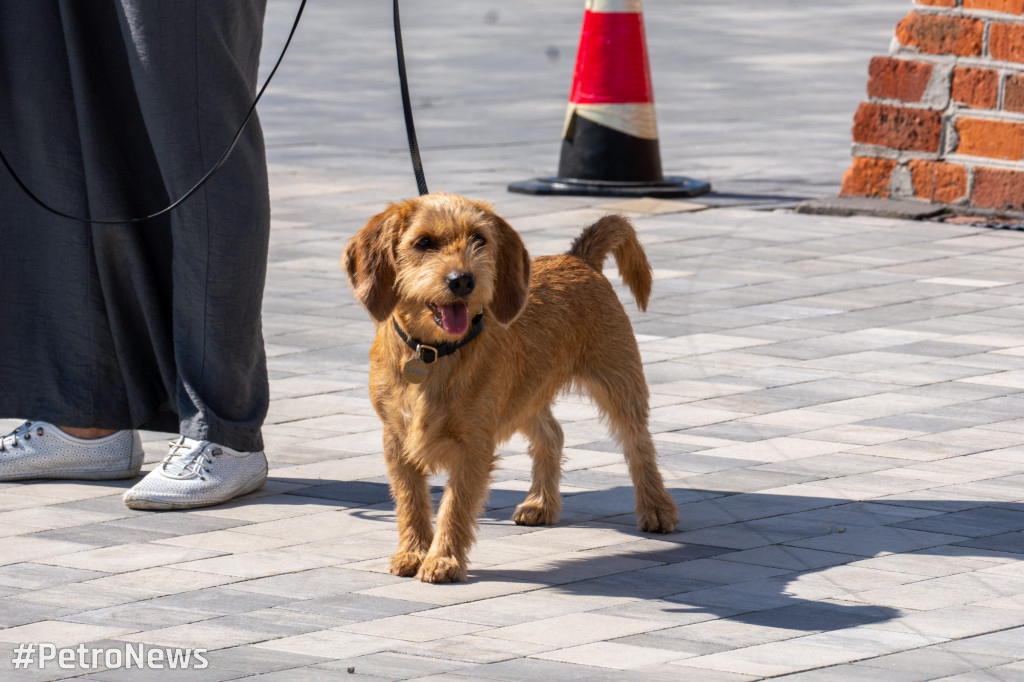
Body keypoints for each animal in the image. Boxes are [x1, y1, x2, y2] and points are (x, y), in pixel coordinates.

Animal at [344, 191, 679, 577]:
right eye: (423, 242)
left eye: (479, 239)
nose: (462, 280)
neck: (433, 352)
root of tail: (578, 257)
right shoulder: (396, 439)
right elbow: (410, 500)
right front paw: (412, 552)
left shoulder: (474, 443)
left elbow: (455, 504)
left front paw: (444, 559)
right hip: (524, 396)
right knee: (552, 434)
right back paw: (541, 504)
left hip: (618, 383)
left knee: (638, 444)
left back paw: (656, 507)